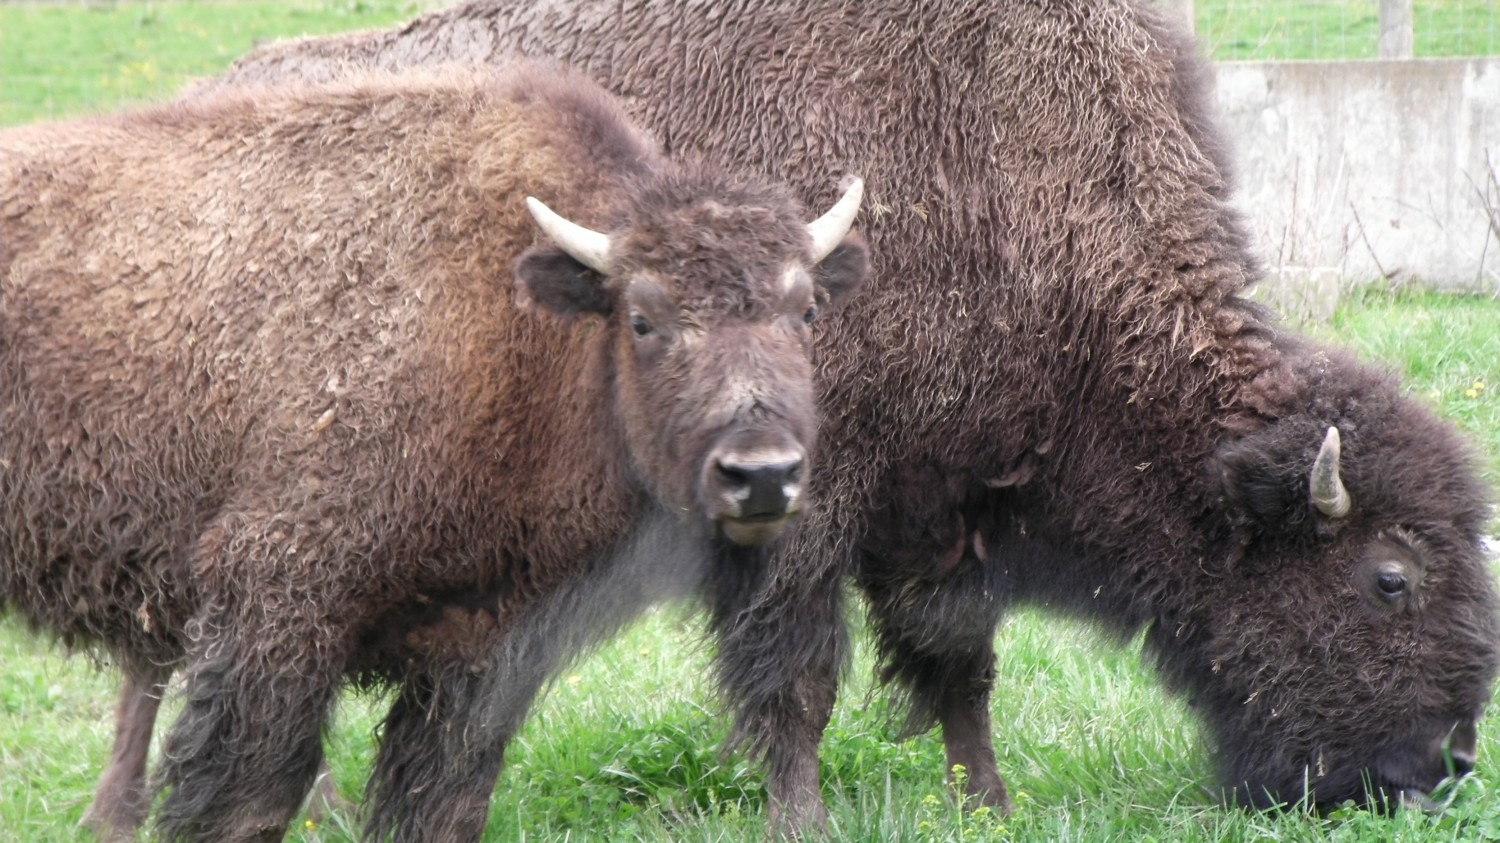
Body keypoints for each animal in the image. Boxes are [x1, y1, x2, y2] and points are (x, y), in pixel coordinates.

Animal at [0, 62, 870, 834]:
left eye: (807, 310)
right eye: (643, 319)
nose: (763, 476)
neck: (526, 329)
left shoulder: (482, 649)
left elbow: (447, 802)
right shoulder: (277, 602)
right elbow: (247, 803)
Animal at [208, 0, 1500, 828]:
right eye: (1390, 578)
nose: (1439, 770)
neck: (998, 172)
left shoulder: (946, 504)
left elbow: (957, 665)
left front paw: (990, 804)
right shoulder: (803, 506)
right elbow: (798, 681)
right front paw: (805, 817)